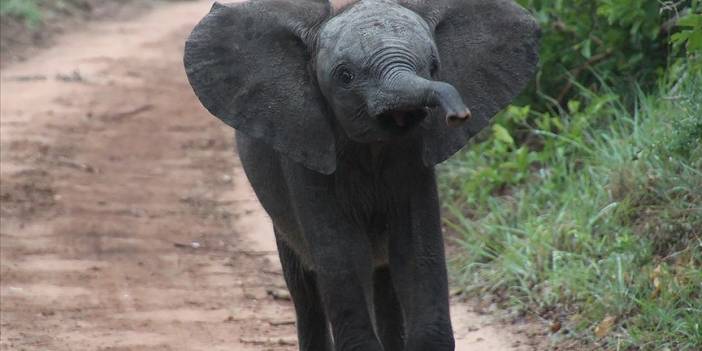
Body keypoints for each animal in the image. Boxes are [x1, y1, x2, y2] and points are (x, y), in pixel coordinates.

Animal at [184, 0, 540, 351]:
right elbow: (346, 257)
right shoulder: (306, 153)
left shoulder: (415, 161)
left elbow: (414, 252)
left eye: (433, 66)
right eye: (345, 76)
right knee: (305, 291)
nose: (458, 115)